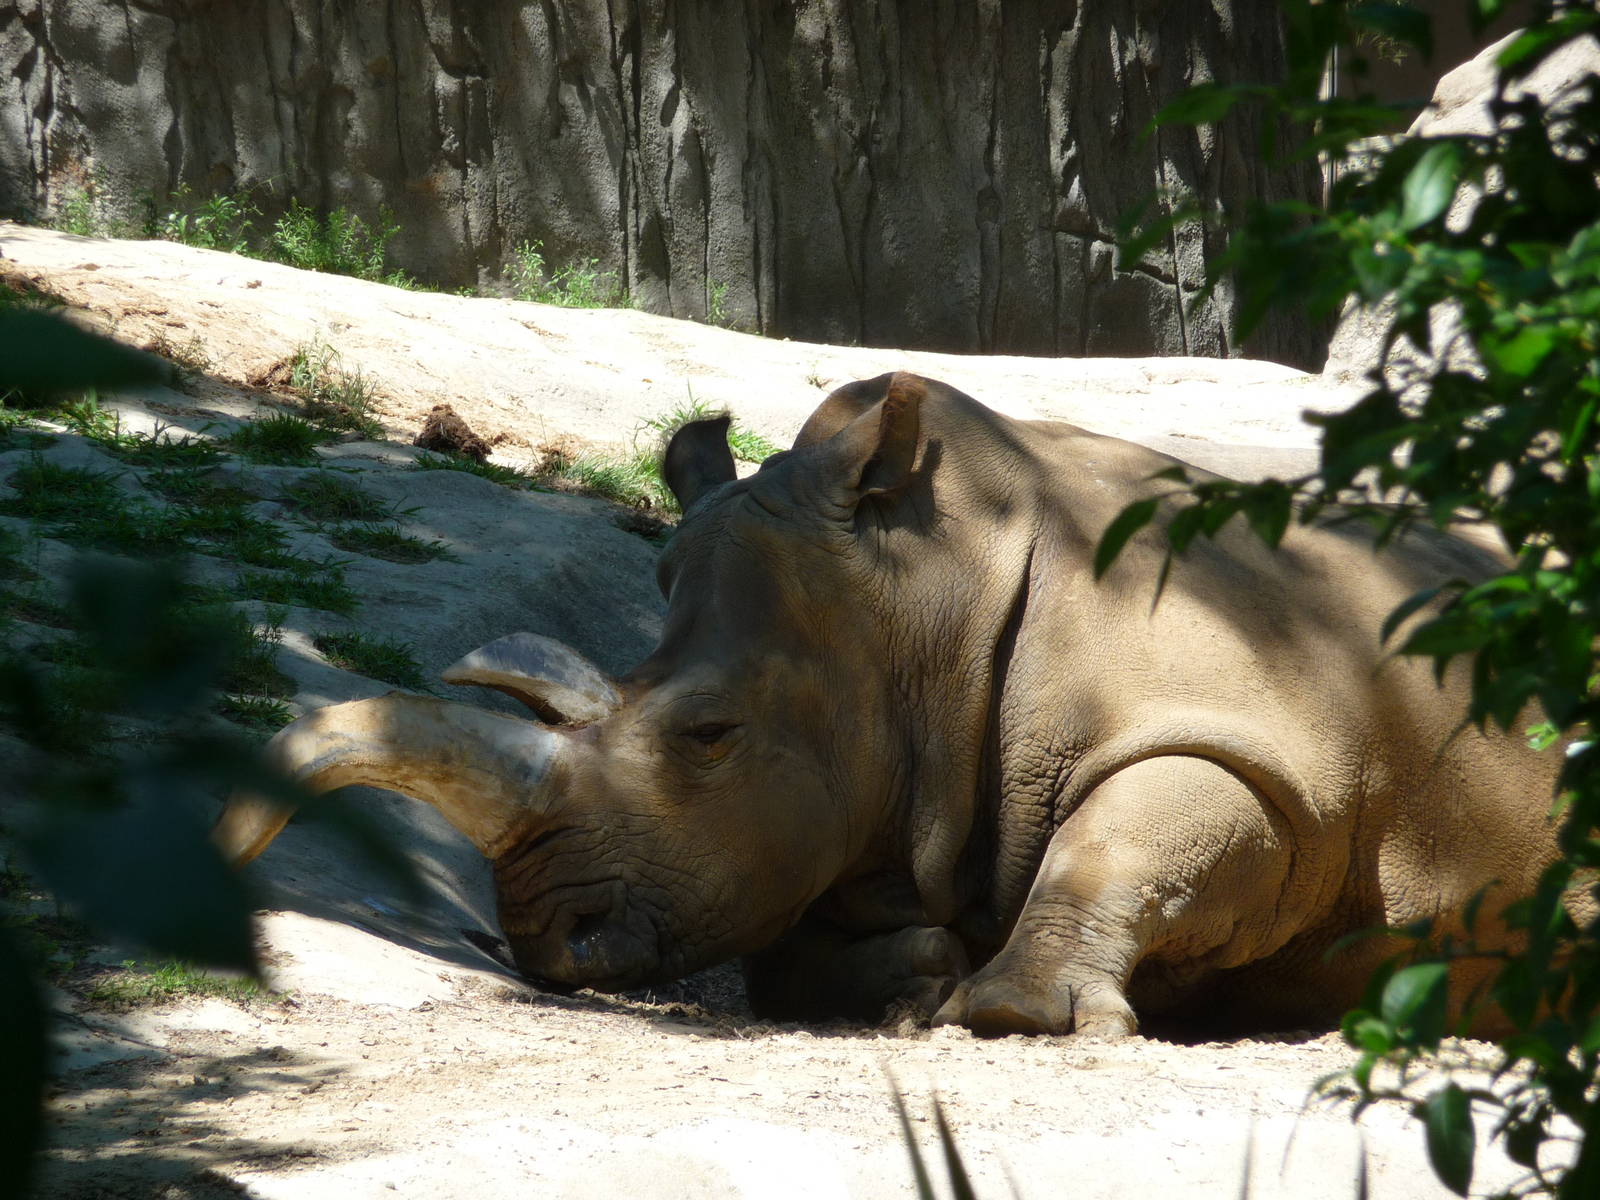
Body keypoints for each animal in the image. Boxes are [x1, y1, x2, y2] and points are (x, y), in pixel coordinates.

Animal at [216, 372, 1562, 1036]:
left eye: (708, 734)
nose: (548, 939)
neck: (924, 608)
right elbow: (785, 948)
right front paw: (919, 984)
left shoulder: (1270, 753)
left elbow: (1139, 830)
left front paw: (1011, 1014)